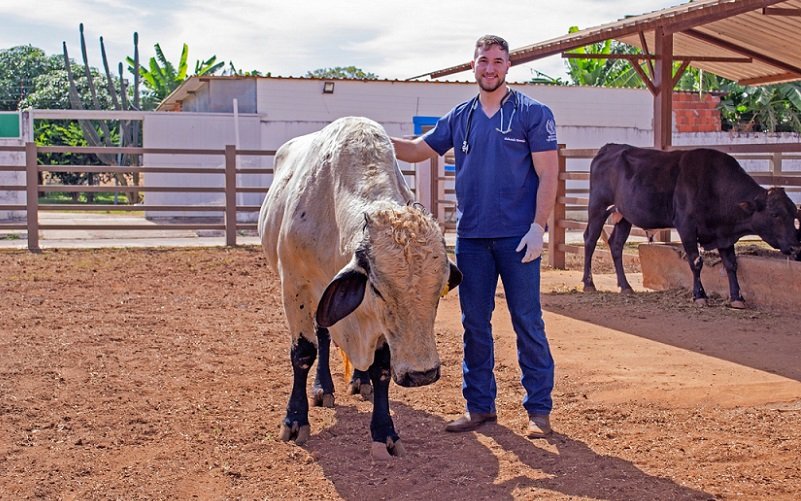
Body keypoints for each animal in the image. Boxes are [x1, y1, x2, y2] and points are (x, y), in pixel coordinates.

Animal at [260, 115, 460, 458]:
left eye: (438, 292)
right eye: (377, 289)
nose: (422, 375)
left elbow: (382, 368)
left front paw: (384, 431)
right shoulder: (295, 286)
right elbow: (303, 353)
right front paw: (295, 420)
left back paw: (360, 379)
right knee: (322, 336)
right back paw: (323, 388)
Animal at [580, 143, 800, 306]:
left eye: (794, 214)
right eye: (775, 214)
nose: (796, 246)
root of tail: (609, 147)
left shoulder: (723, 234)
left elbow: (731, 264)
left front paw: (737, 297)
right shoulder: (686, 226)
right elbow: (696, 262)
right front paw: (699, 295)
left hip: (625, 217)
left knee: (616, 245)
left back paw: (625, 286)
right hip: (598, 207)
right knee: (590, 239)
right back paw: (589, 283)